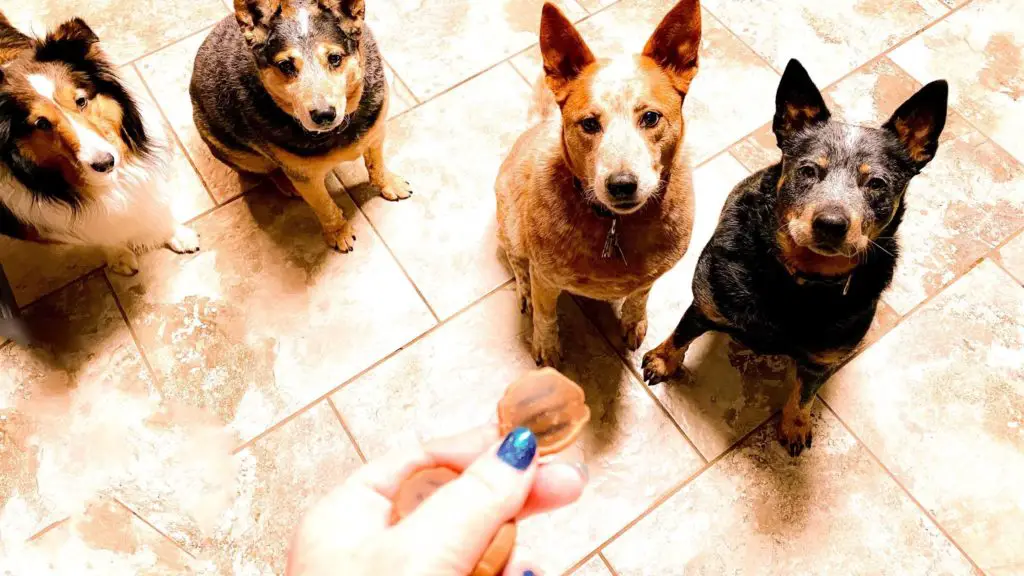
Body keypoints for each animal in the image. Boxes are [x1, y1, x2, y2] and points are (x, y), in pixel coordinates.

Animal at [0, 14, 201, 272]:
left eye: (81, 100)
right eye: (42, 123)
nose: (105, 164)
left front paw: (177, 235)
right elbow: (99, 236)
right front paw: (119, 255)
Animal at [192, 0, 407, 251]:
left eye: (335, 58)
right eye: (285, 65)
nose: (324, 114)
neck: (338, 130)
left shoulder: (376, 133)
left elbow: (377, 166)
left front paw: (389, 183)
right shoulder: (307, 178)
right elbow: (324, 205)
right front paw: (338, 231)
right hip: (236, 151)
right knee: (268, 170)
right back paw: (286, 182)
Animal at [495, 0, 704, 364]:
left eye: (650, 117)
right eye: (590, 123)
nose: (622, 184)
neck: (614, 225)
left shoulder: (651, 275)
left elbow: (639, 296)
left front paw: (634, 321)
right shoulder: (545, 277)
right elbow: (546, 315)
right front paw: (546, 346)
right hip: (511, 223)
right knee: (517, 262)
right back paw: (524, 293)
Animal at [643, 58, 946, 453]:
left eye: (877, 183)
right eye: (808, 170)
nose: (831, 223)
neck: (800, 283)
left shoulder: (821, 360)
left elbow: (805, 393)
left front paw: (795, 424)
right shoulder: (705, 304)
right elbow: (680, 335)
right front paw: (663, 361)